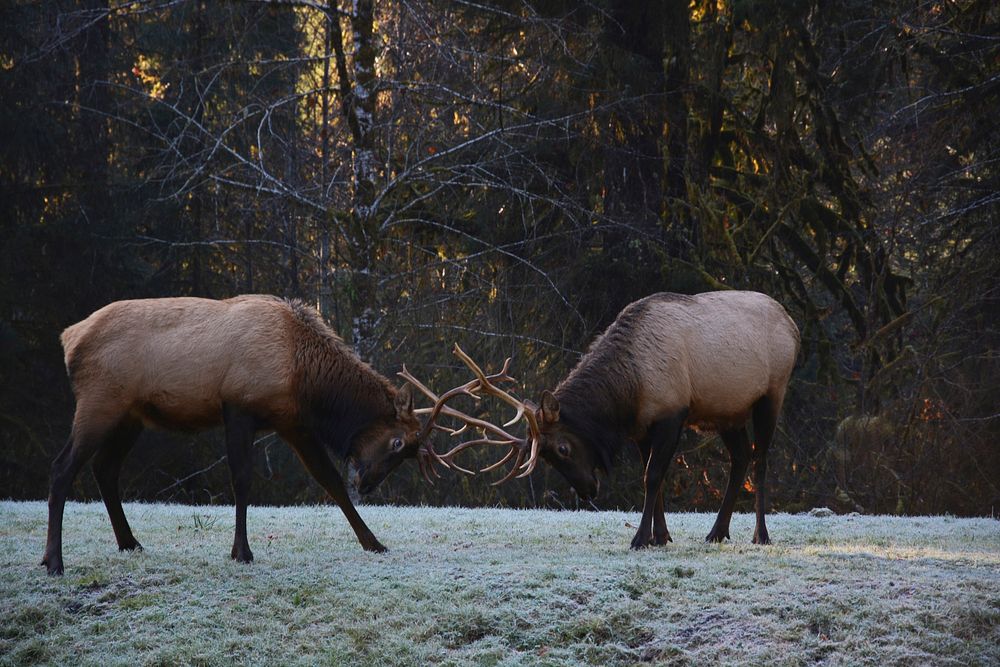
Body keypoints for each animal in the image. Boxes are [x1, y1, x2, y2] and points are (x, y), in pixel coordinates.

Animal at [45, 294, 466, 576]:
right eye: (398, 443)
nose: (368, 484)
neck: (303, 376)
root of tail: (69, 339)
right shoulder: (238, 406)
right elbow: (242, 478)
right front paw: (241, 552)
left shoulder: (292, 421)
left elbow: (329, 480)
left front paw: (373, 542)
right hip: (99, 401)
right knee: (63, 467)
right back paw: (54, 560)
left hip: (131, 416)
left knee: (104, 469)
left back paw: (129, 542)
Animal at [418, 294, 800, 552]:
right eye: (546, 458)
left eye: (562, 447)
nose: (587, 491)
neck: (630, 390)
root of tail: (794, 327)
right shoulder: (643, 427)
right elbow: (654, 478)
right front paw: (660, 536)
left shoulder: (671, 413)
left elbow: (653, 476)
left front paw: (640, 538)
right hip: (727, 411)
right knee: (740, 457)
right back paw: (717, 531)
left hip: (772, 394)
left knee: (760, 460)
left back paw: (761, 535)